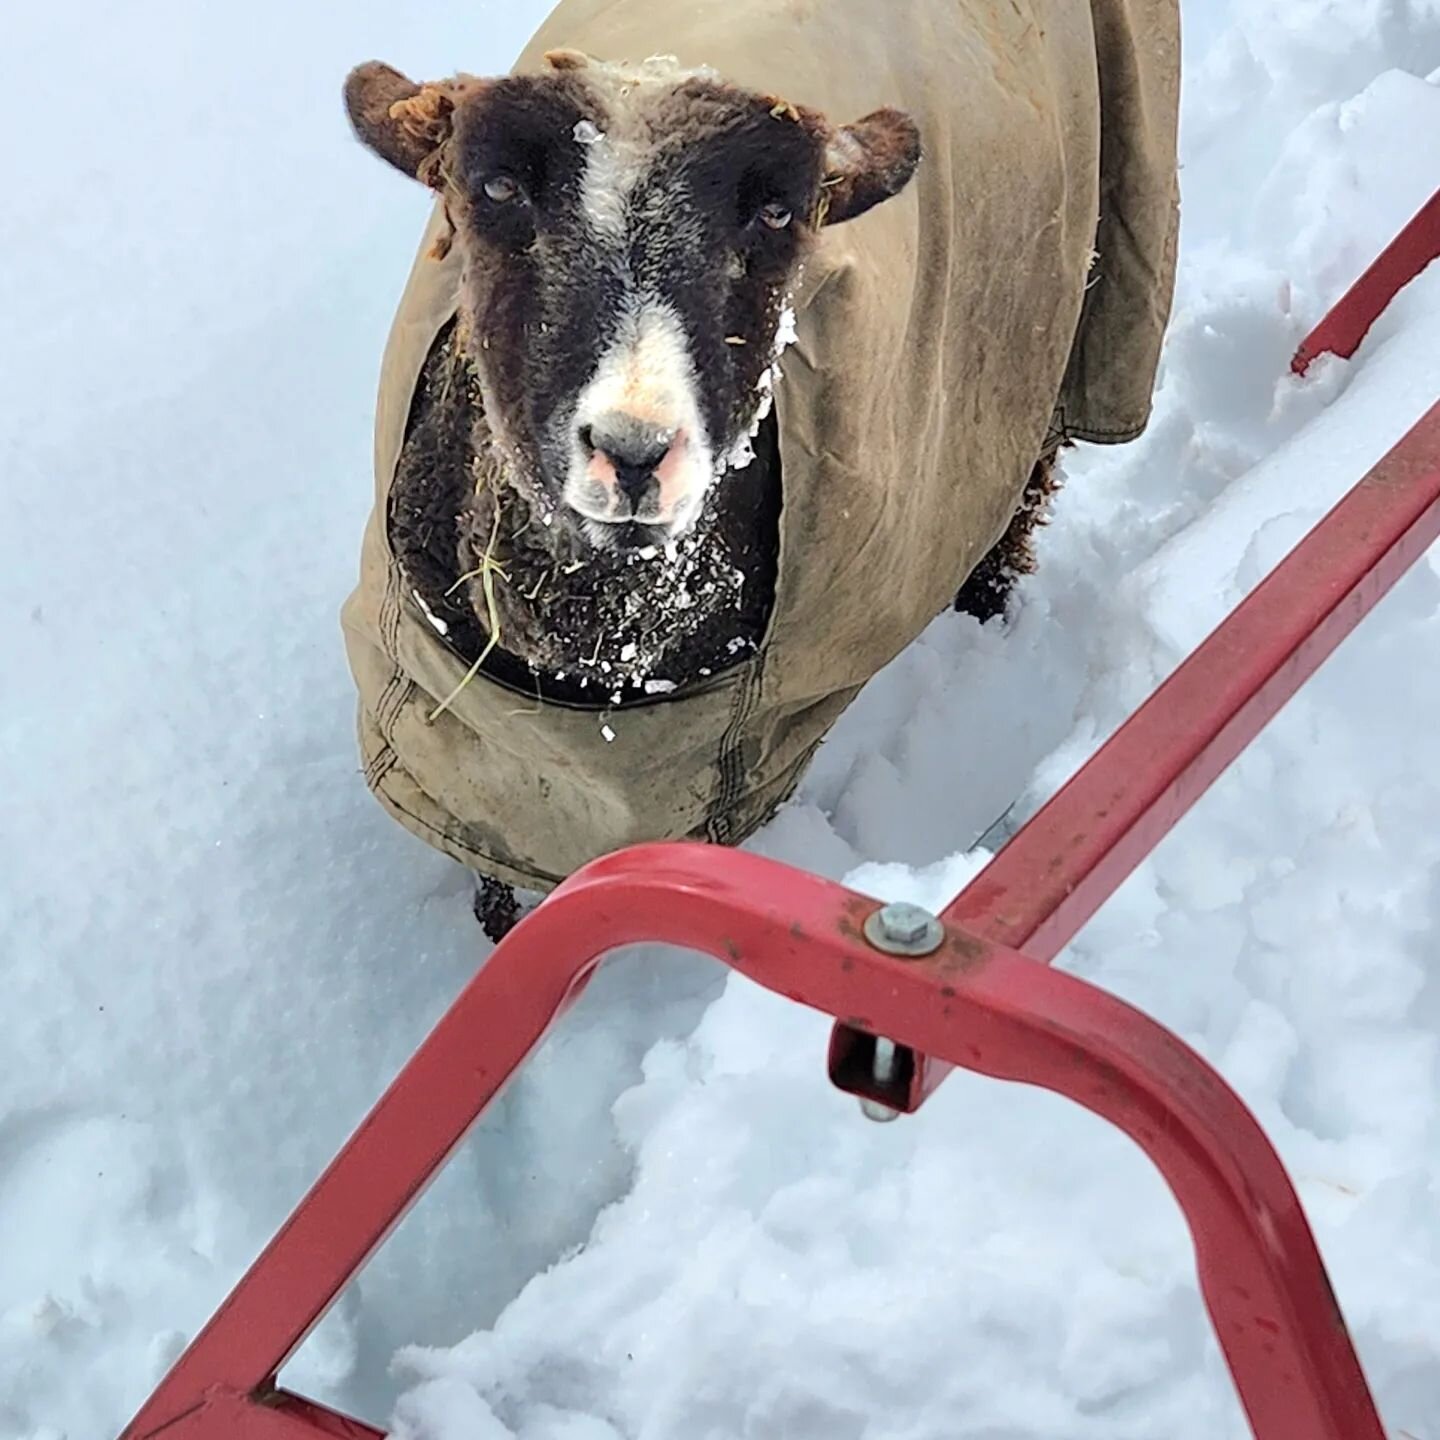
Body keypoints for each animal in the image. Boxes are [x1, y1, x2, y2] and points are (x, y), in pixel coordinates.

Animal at [339, 0, 1180, 938]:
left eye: (777, 215)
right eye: (495, 190)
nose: (635, 450)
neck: (604, 674)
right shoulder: (469, 743)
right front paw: (496, 924)